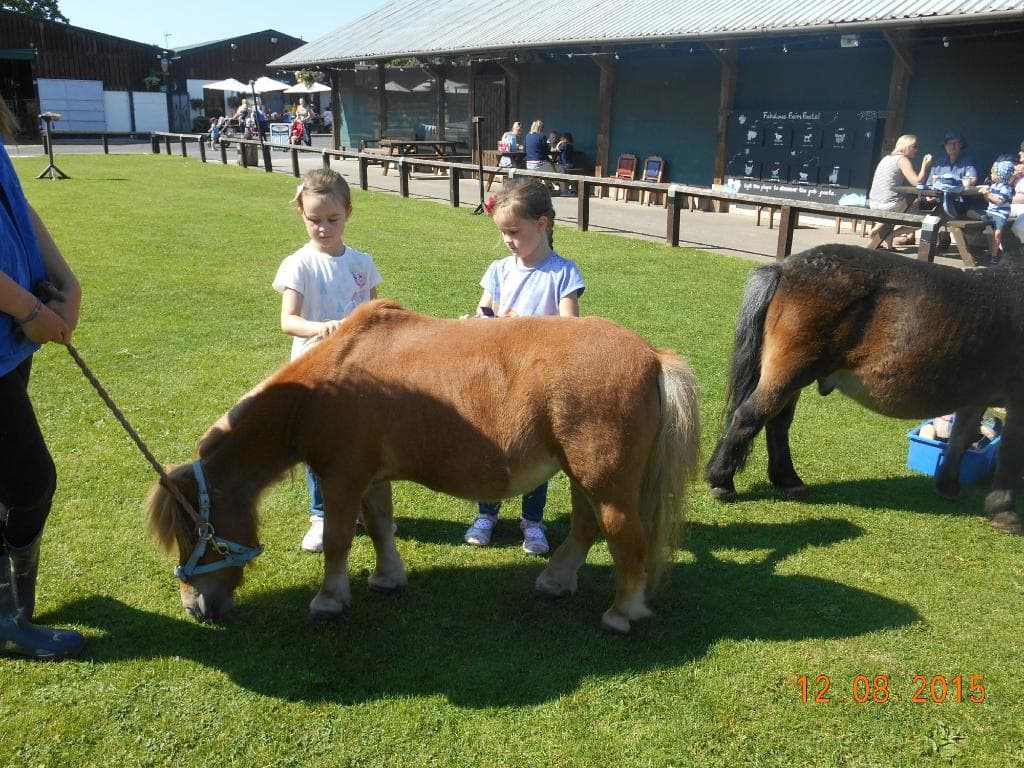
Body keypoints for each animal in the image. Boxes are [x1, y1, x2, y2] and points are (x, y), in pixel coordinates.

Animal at [148, 300, 701, 634]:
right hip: (582, 476)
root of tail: (651, 356)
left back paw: (622, 612)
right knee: (587, 528)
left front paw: (329, 599)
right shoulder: (369, 478)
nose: (196, 607)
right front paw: (388, 578)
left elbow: (339, 541)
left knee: (624, 538)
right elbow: (380, 527)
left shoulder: (342, 478)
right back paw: (556, 581)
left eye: (193, 530)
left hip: (604, 482)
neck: (324, 388)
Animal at [706, 244, 1024, 535]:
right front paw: (1005, 512)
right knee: (748, 417)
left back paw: (787, 480)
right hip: (790, 372)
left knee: (777, 424)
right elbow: (1009, 456)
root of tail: (785, 268)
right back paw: (722, 481)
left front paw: (948, 486)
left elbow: (961, 438)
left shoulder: (977, 396)